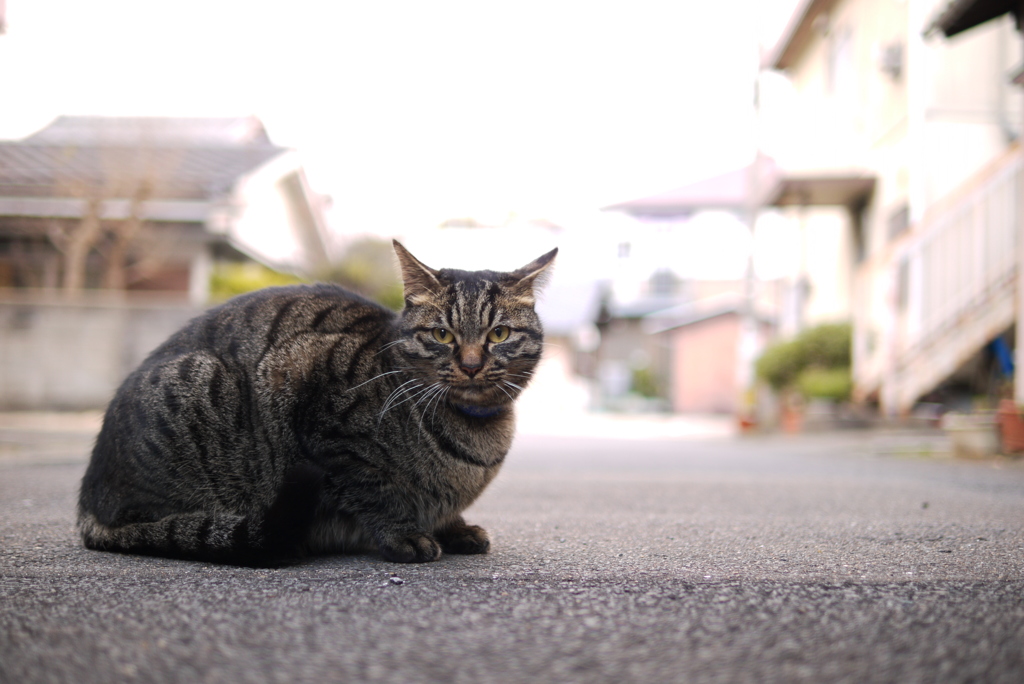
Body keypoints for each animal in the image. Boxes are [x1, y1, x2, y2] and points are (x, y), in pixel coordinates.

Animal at [77, 242, 561, 565]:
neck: (478, 434)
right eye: (442, 335)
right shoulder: (322, 409)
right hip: (203, 384)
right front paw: (406, 535)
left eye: (499, 334)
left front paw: (456, 528)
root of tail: (88, 500)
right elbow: (375, 491)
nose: (472, 365)